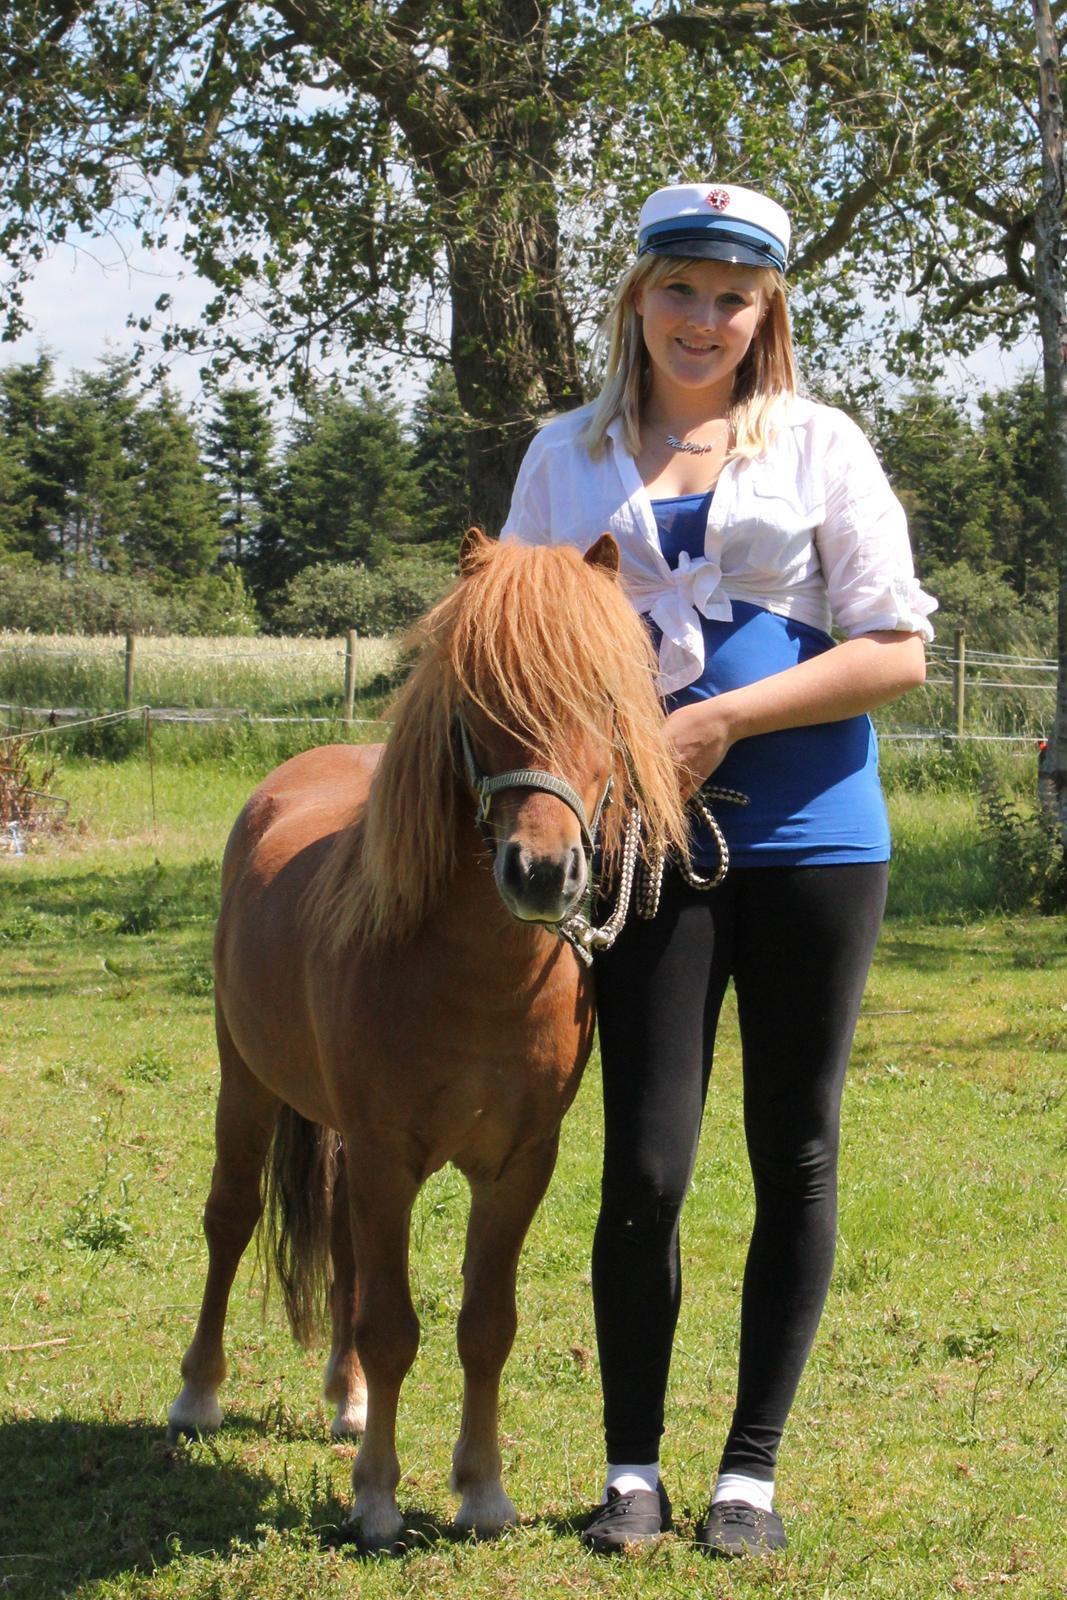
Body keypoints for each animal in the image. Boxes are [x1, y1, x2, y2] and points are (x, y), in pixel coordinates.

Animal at [167, 528, 688, 1549]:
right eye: (476, 706)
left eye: (605, 701)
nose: (542, 872)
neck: (477, 977)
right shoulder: (386, 1156)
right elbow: (393, 1326)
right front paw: (376, 1499)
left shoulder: (516, 1164)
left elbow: (484, 1322)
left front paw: (481, 1492)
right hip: (246, 1085)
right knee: (231, 1218)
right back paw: (197, 1398)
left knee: (338, 1245)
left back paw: (346, 1398)